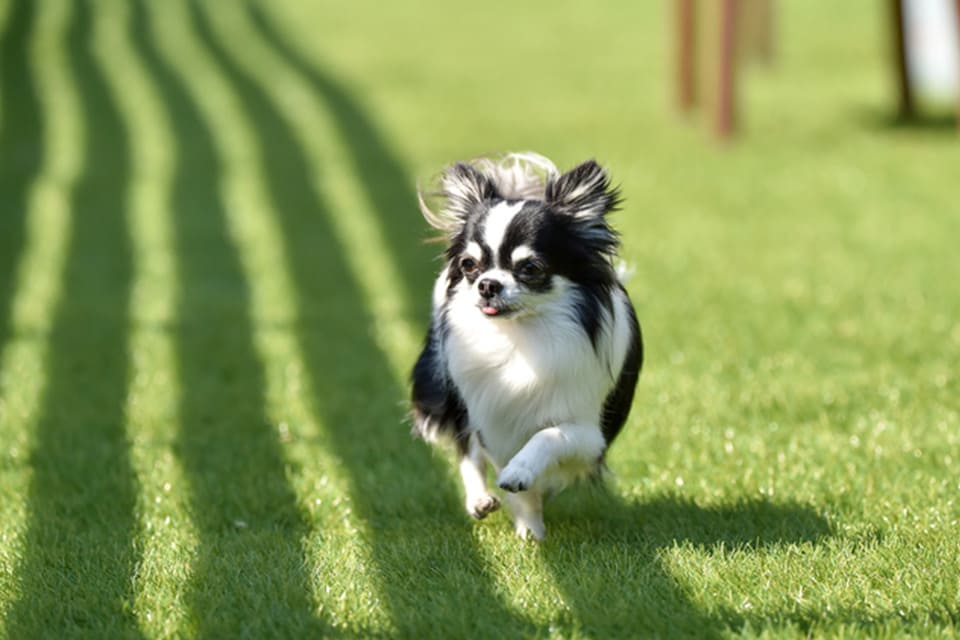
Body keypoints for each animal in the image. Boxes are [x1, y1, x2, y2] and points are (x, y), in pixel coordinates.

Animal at [408, 152, 640, 536]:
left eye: (530, 268)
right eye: (469, 265)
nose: (487, 284)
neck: (520, 337)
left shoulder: (589, 434)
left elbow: (547, 436)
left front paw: (521, 477)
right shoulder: (488, 417)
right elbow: (489, 459)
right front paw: (529, 526)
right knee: (467, 451)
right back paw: (479, 499)